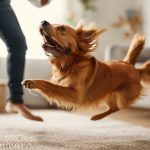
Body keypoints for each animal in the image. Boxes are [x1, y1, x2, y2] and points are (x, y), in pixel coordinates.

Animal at [22, 20, 150, 120]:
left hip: (124, 98)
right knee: (114, 107)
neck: (69, 65)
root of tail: (132, 66)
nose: (43, 21)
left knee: (119, 107)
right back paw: (96, 117)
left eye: (62, 28)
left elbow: (49, 84)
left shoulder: (76, 95)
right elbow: (51, 84)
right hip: (109, 94)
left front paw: (33, 82)